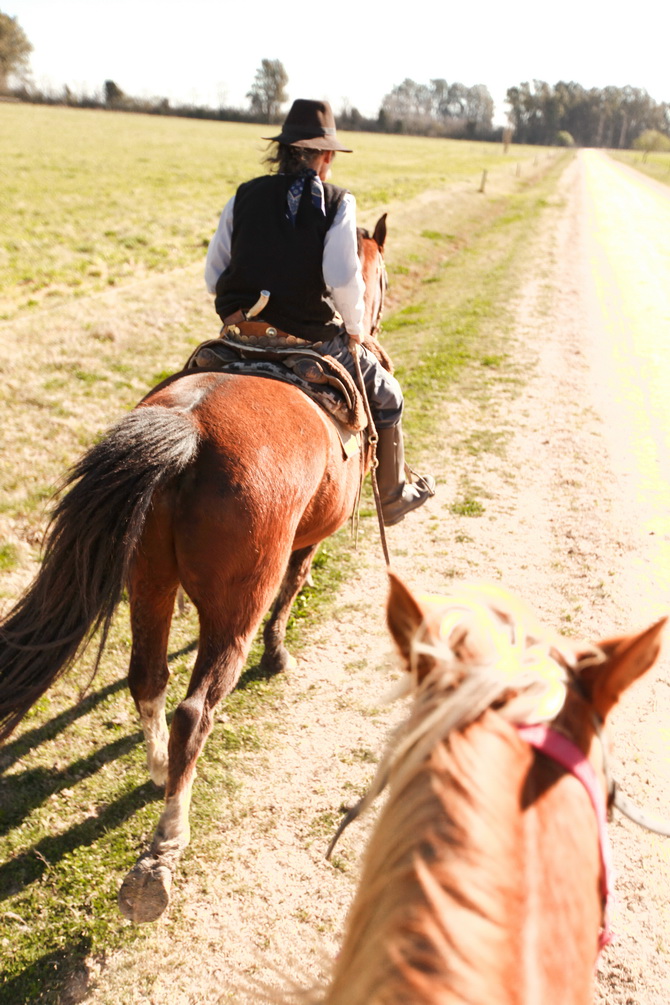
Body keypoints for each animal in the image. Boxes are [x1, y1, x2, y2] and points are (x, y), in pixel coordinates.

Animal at [0, 218, 387, 920]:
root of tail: (190, 427)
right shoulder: (306, 545)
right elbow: (293, 592)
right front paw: (278, 657)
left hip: (148, 580)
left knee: (147, 678)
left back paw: (157, 772)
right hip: (234, 605)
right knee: (194, 711)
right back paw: (163, 849)